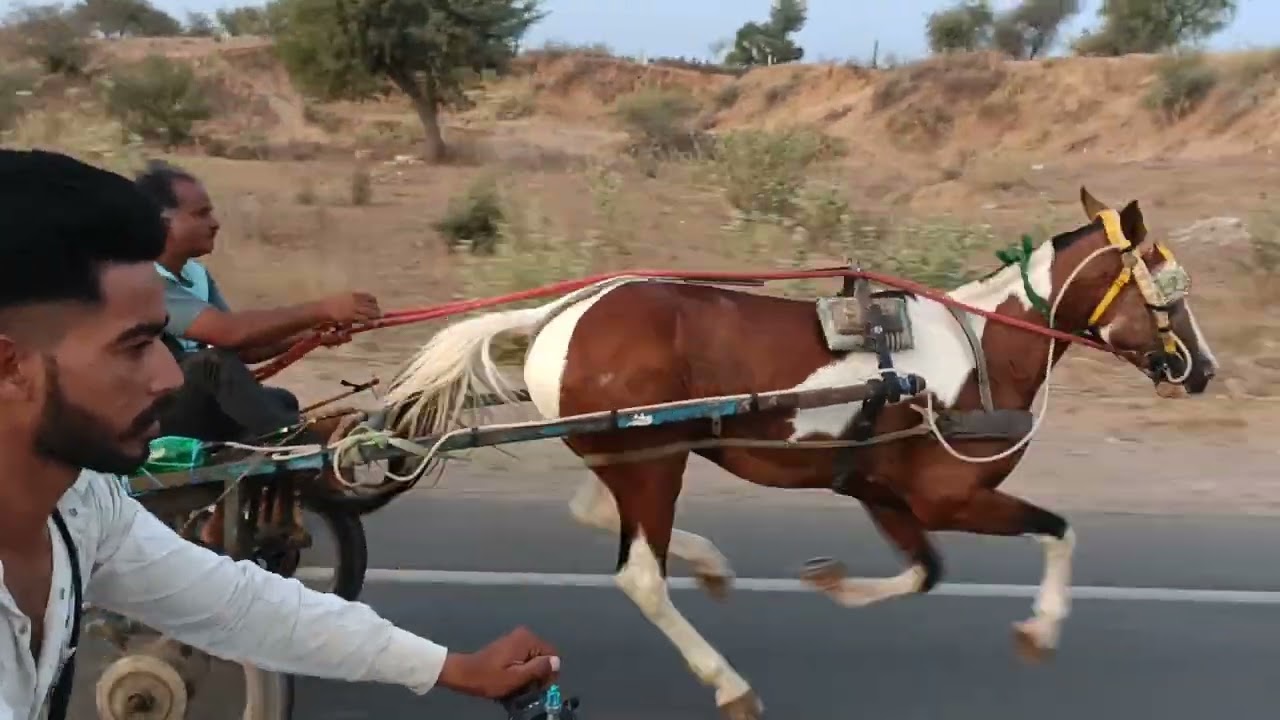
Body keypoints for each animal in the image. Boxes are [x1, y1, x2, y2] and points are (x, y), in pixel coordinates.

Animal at [368, 187, 1219, 719]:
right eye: (1168, 289)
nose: (1201, 369)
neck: (983, 351)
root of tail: (564, 313)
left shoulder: (882, 491)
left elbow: (923, 571)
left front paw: (832, 583)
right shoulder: (950, 496)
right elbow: (1058, 531)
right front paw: (1041, 629)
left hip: (634, 453)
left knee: (595, 508)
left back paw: (709, 563)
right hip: (651, 459)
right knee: (641, 575)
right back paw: (727, 681)